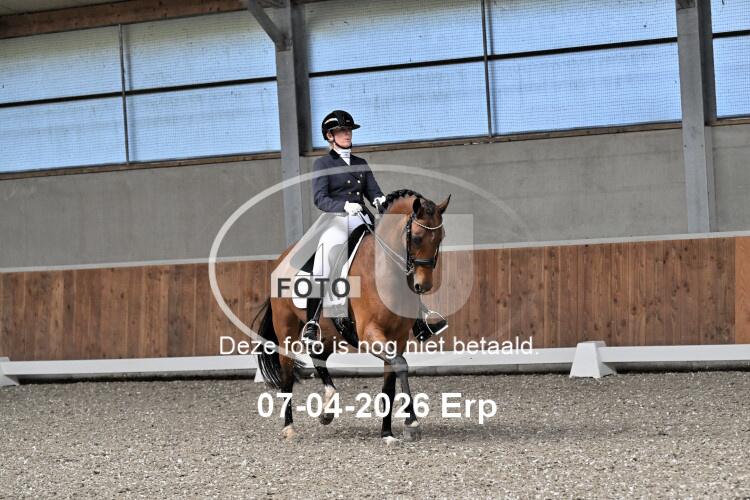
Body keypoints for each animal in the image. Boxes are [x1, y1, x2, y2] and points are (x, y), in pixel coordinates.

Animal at [253, 189, 450, 444]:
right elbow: (400, 365)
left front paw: (387, 433)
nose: (423, 286)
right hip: (286, 328)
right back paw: (289, 428)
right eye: (416, 237)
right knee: (287, 373)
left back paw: (328, 407)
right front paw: (412, 422)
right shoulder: (370, 334)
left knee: (319, 356)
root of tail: (283, 257)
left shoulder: (397, 337)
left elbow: (390, 383)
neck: (383, 270)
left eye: (440, 237)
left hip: (332, 332)